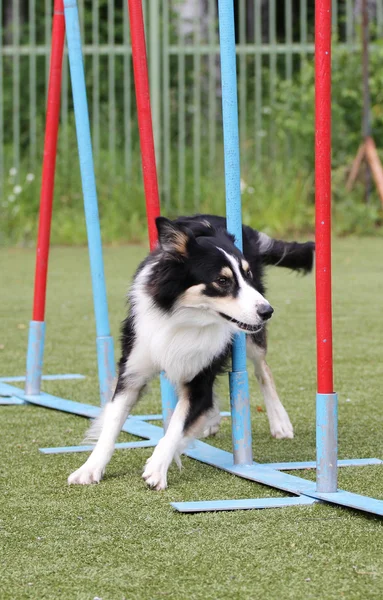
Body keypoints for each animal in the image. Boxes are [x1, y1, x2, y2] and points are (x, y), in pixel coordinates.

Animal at [69, 217, 316, 492]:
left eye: (247, 274)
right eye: (222, 281)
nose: (268, 311)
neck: (184, 316)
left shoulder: (199, 381)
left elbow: (177, 426)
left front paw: (157, 469)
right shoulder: (133, 370)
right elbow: (111, 424)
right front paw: (90, 468)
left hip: (251, 338)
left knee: (263, 370)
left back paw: (279, 421)